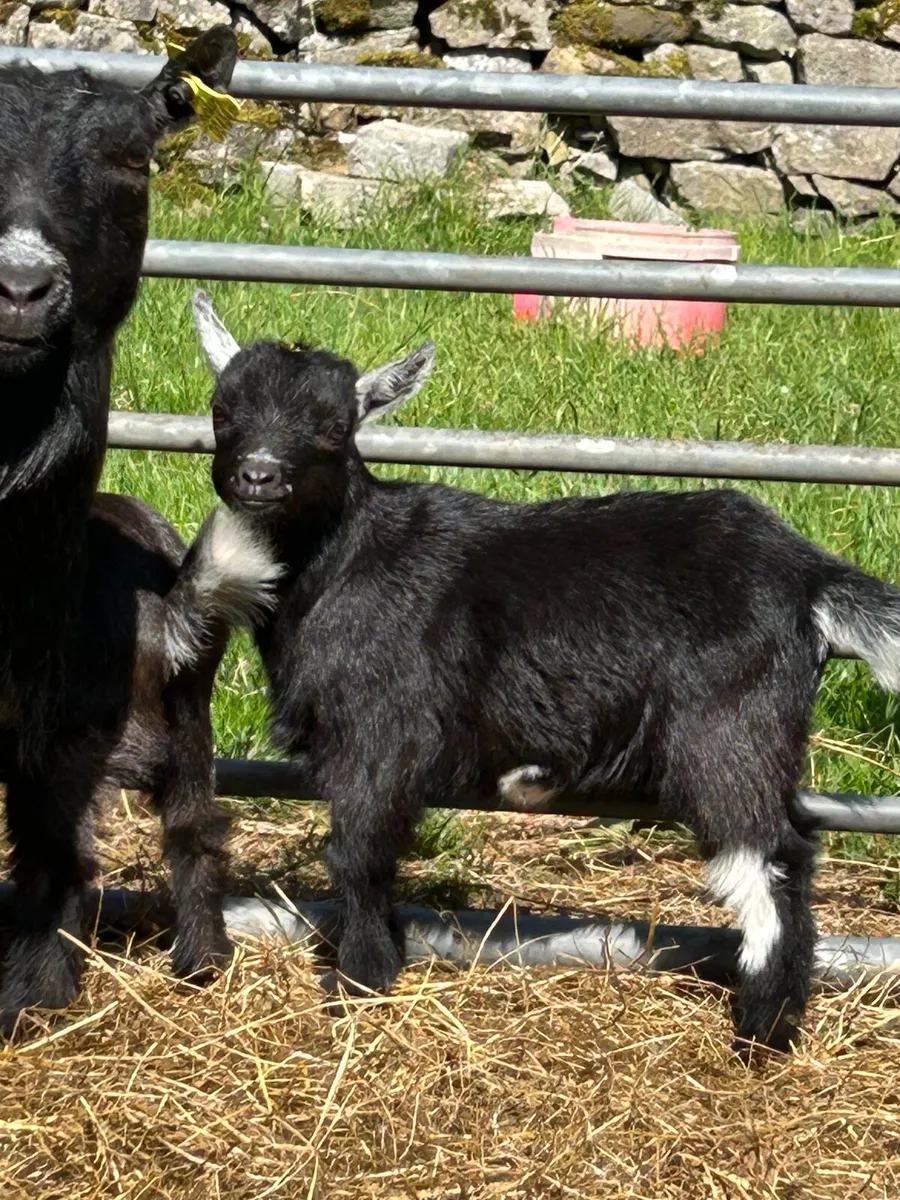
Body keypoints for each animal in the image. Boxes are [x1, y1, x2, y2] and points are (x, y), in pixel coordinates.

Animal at [192, 289, 900, 1055]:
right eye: (222, 409)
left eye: (331, 426)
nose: (259, 475)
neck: (344, 559)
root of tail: (805, 573)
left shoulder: (380, 733)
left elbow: (357, 853)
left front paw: (362, 980)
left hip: (727, 729)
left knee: (769, 859)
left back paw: (763, 1028)